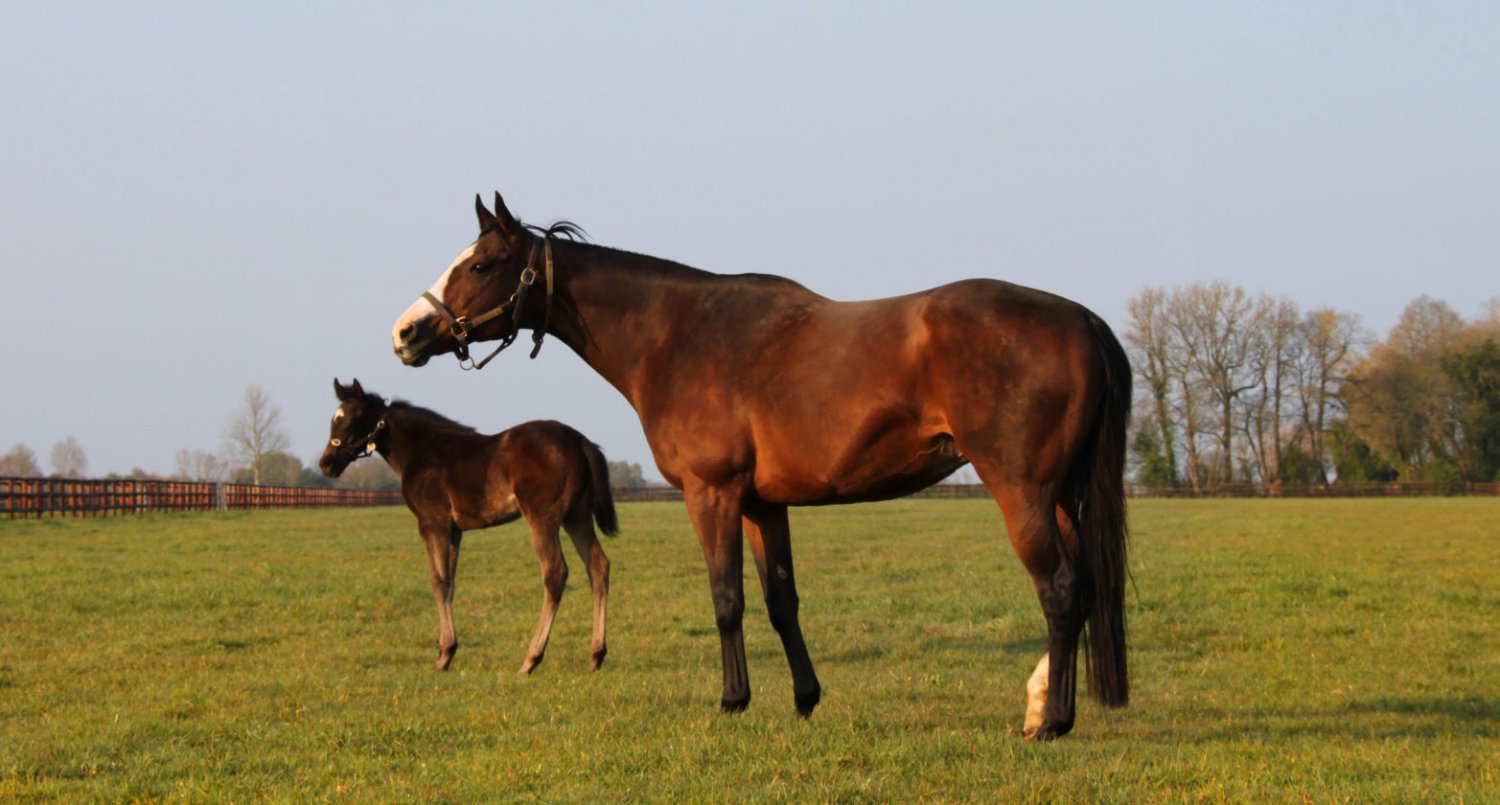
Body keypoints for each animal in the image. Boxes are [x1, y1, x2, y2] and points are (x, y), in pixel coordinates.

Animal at [318, 378, 617, 675]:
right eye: (334, 420)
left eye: (353, 420)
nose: (326, 463)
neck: (420, 451)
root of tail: (580, 441)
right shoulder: (454, 530)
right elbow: (450, 581)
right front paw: (449, 651)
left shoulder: (432, 522)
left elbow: (438, 581)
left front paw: (444, 654)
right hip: (577, 517)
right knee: (598, 566)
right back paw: (596, 656)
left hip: (544, 518)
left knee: (555, 573)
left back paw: (531, 659)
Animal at [390, 193, 1130, 740]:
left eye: (482, 264)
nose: (406, 333)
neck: (675, 335)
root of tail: (1083, 320)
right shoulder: (762, 504)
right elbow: (780, 600)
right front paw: (804, 698)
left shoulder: (711, 494)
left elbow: (727, 600)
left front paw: (732, 699)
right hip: (1059, 496)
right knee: (1087, 587)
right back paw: (1045, 704)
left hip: (1021, 492)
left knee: (1061, 589)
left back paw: (1050, 720)